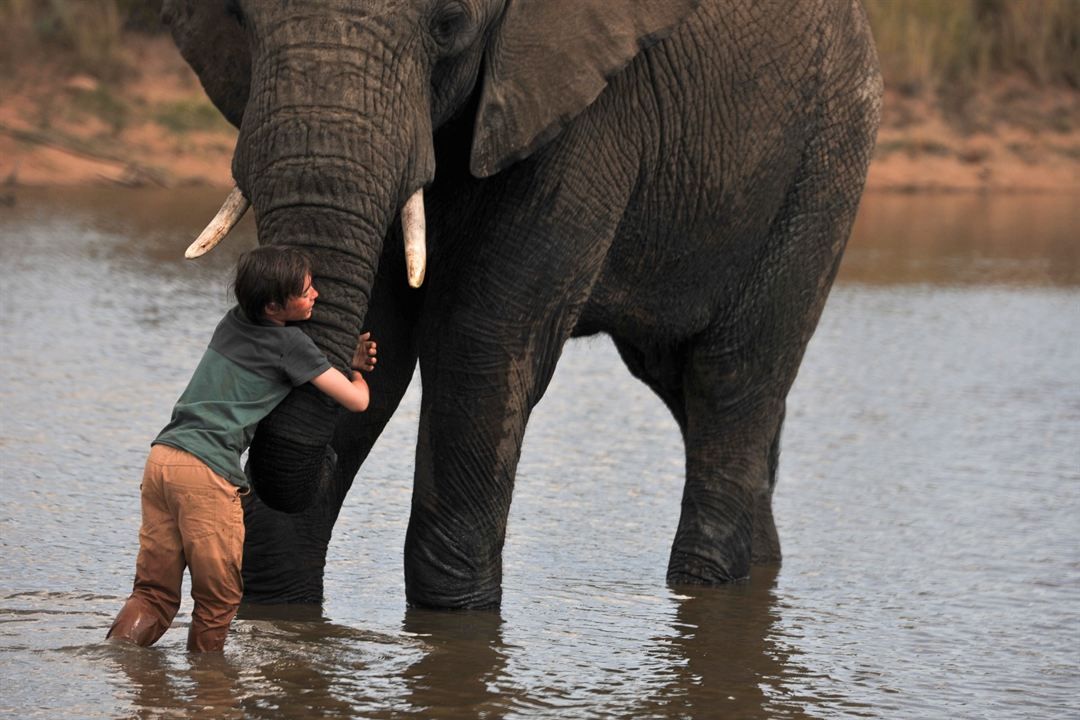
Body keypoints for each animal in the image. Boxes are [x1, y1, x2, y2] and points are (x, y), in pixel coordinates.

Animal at [162, 0, 885, 608]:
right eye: (240, 18)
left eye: (449, 24)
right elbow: (385, 347)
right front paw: (278, 610)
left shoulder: (586, 102)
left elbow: (480, 344)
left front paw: (456, 617)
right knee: (687, 390)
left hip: (825, 161)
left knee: (732, 381)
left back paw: (706, 582)